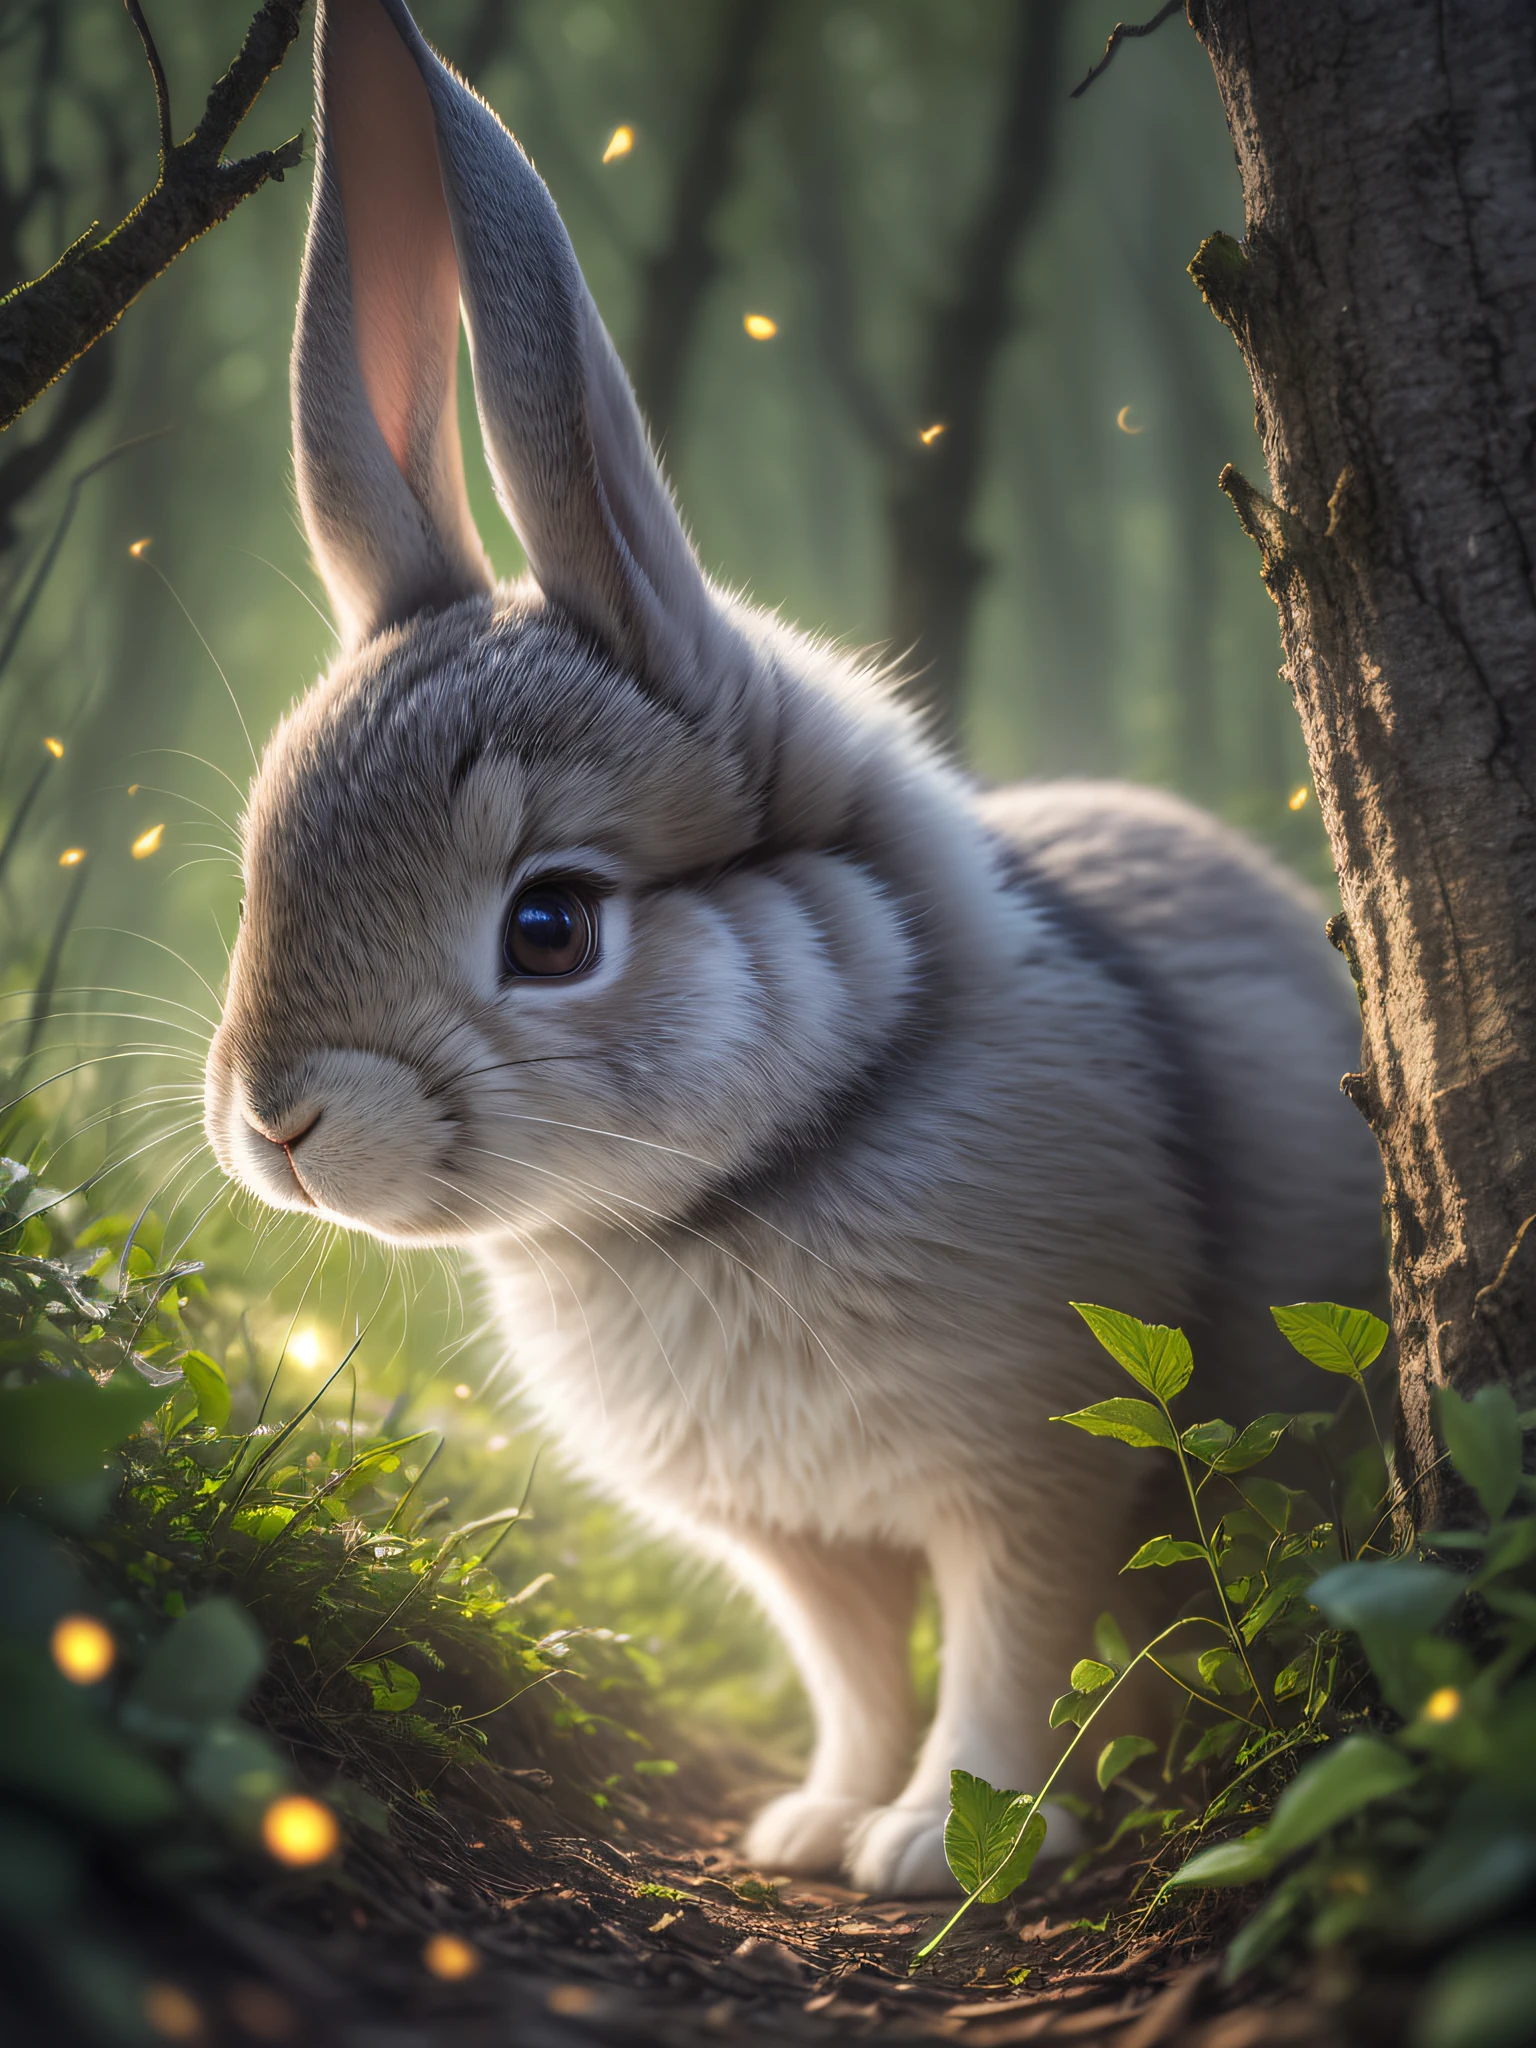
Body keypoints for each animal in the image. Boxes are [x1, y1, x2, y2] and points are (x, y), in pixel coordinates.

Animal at [198, 0, 1392, 1892]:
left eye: (551, 925)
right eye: (261, 862)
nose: (278, 1123)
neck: (753, 1177)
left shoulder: (1033, 1477)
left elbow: (1003, 1654)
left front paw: (943, 1846)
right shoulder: (795, 1541)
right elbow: (851, 1669)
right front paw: (816, 1818)